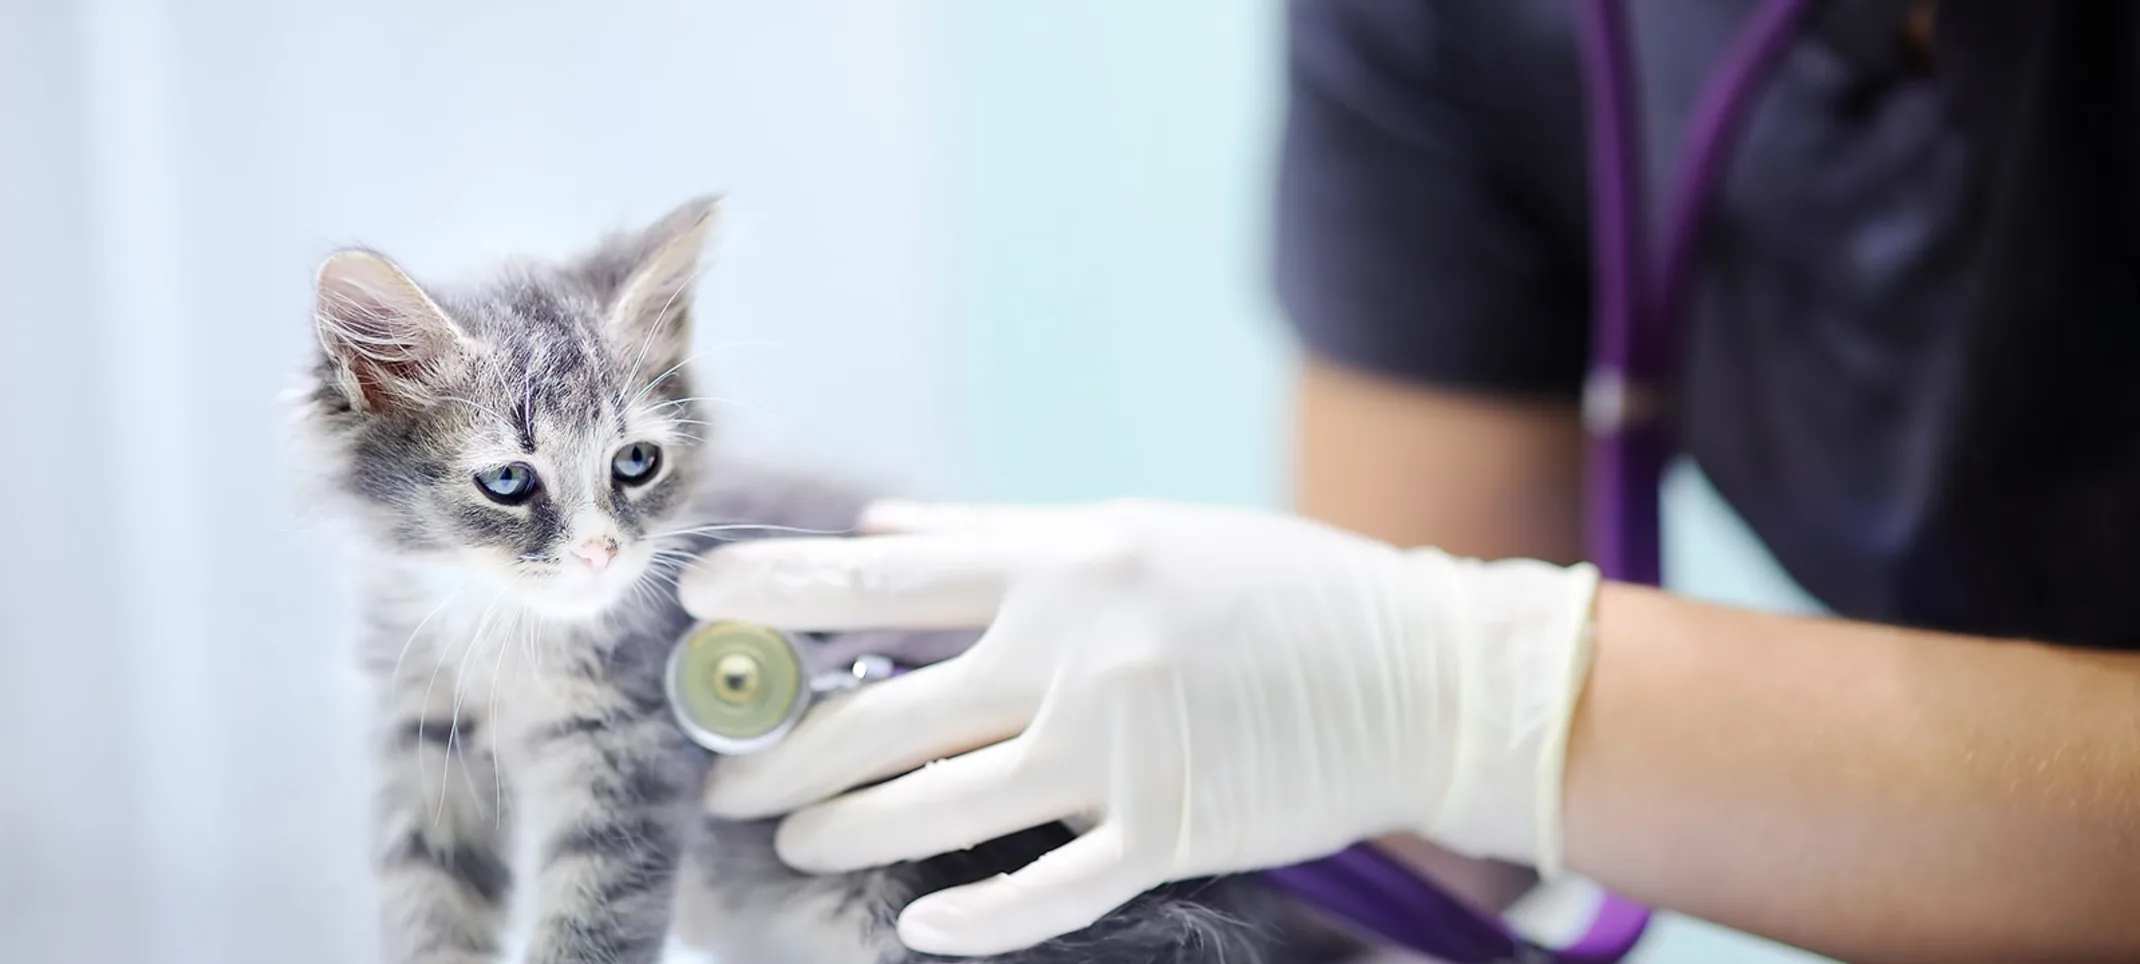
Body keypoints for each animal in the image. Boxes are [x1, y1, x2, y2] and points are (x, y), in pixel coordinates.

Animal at [288, 196, 1369, 964]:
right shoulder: (420, 743)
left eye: (633, 464)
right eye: (510, 481)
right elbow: (431, 905)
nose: (601, 553)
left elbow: (592, 923)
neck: (508, 634)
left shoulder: (632, 759)